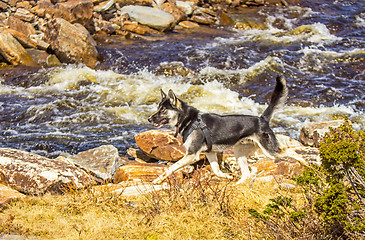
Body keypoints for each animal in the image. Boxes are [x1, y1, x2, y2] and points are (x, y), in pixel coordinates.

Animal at [148, 76, 288, 185]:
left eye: (163, 110)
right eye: (158, 108)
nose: (149, 119)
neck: (189, 120)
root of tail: (262, 119)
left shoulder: (192, 155)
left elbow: (171, 167)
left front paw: (157, 180)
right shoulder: (210, 153)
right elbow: (216, 170)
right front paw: (227, 176)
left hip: (269, 150)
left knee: (289, 152)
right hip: (239, 152)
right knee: (246, 174)